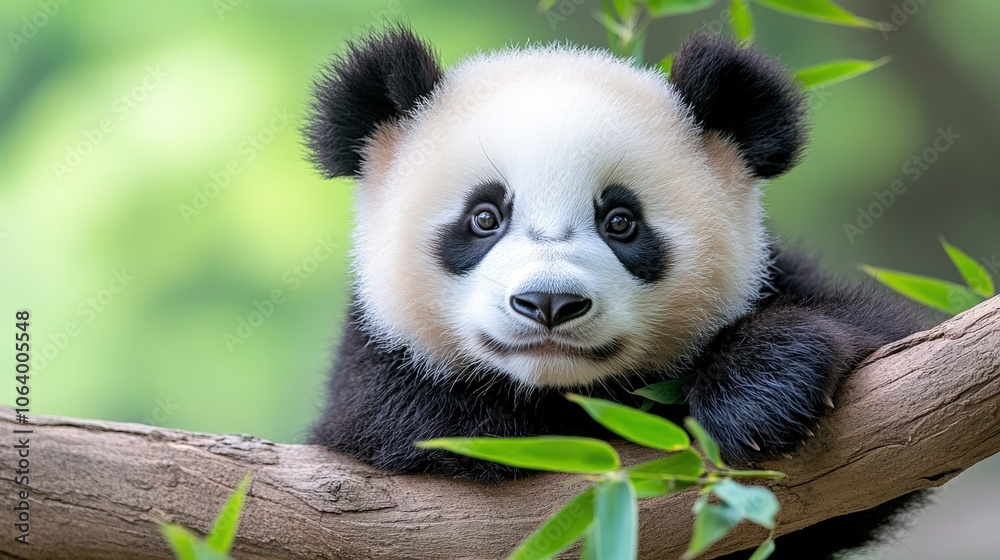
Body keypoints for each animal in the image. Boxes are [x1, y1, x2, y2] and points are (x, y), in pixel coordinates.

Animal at [306, 27, 927, 559]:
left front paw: (761, 393)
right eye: (484, 217)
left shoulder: (784, 280)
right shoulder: (370, 388)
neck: (564, 390)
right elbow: (409, 422)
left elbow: (883, 370)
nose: (549, 303)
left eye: (621, 222)